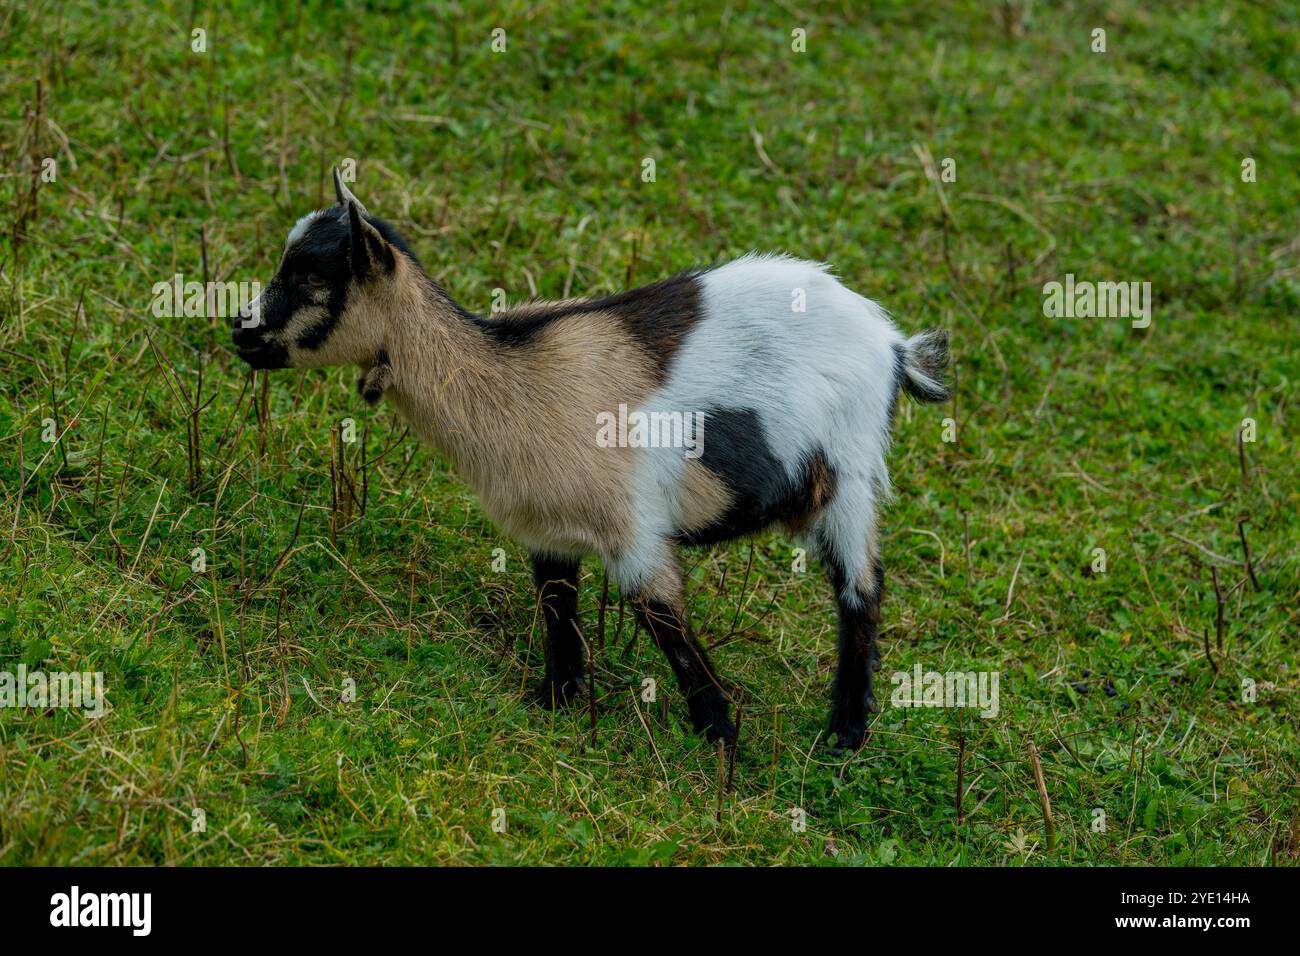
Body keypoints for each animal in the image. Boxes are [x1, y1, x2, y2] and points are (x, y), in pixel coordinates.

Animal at [236, 171, 946, 754]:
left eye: (313, 279)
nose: (239, 330)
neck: (509, 373)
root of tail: (891, 342)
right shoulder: (547, 529)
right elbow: (557, 607)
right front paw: (557, 702)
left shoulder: (633, 531)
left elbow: (662, 617)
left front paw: (720, 736)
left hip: (849, 474)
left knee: (861, 588)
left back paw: (844, 734)